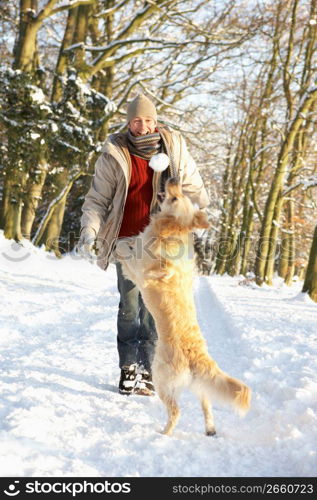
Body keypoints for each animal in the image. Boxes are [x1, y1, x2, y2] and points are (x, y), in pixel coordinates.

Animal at [117, 178, 251, 436]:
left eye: (176, 197)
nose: (173, 179)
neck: (171, 230)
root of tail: (197, 357)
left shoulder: (139, 270)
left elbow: (126, 254)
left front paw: (115, 245)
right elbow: (132, 242)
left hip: (162, 379)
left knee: (175, 411)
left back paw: (164, 433)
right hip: (199, 386)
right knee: (207, 403)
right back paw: (210, 429)